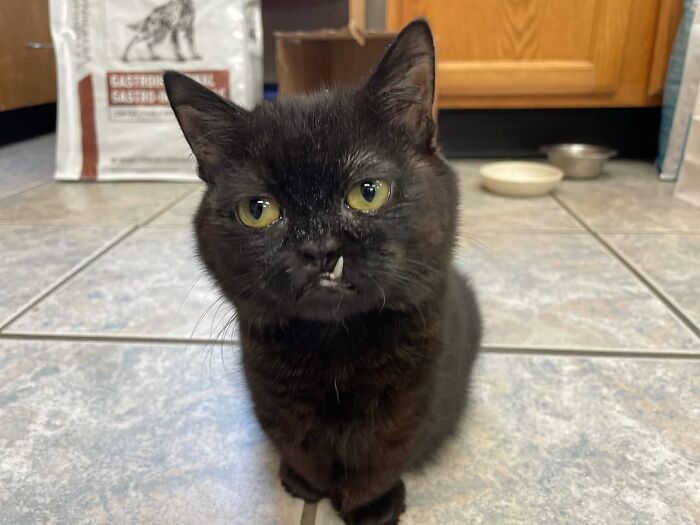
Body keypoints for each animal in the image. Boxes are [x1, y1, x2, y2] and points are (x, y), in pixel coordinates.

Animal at [164, 20, 482, 524]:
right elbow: (300, 446)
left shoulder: (408, 401)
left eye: (368, 192)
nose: (319, 249)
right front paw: (306, 488)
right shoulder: (274, 397)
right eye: (257, 210)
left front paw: (370, 506)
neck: (336, 347)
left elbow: (380, 455)